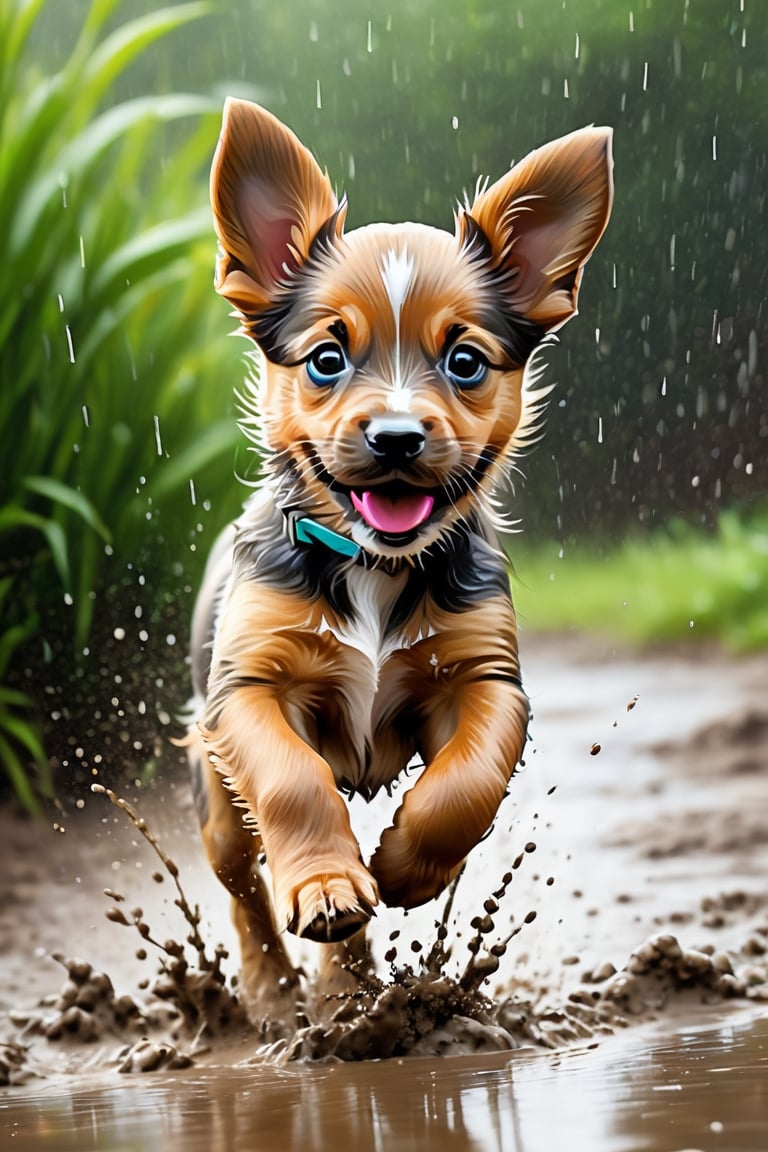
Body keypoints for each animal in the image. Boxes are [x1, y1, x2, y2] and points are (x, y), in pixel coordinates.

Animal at [187, 101, 612, 1018]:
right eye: (326, 359)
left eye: (465, 361)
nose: (395, 437)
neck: (375, 566)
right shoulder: (249, 689)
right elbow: (293, 781)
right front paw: (325, 883)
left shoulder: (485, 679)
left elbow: (466, 785)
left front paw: (405, 870)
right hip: (212, 783)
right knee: (240, 879)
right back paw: (276, 985)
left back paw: (347, 987)